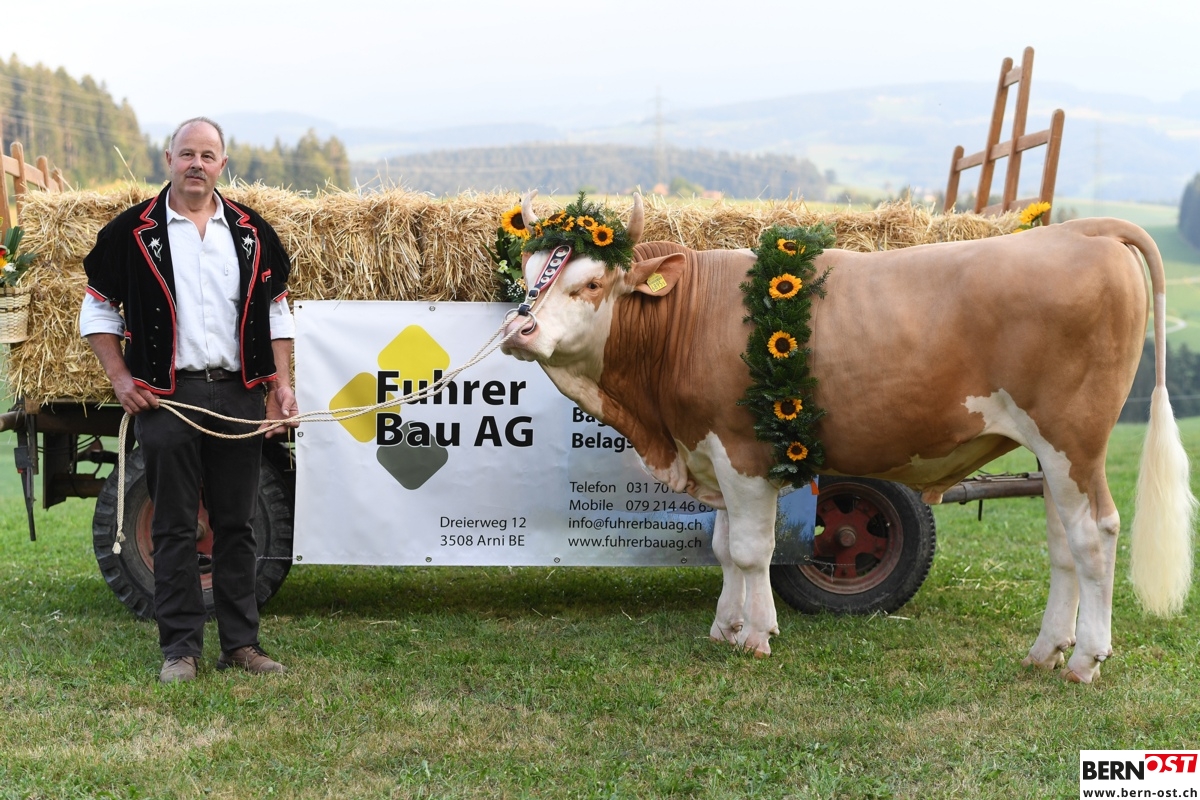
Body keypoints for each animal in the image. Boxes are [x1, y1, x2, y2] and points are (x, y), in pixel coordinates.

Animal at [500, 192, 1195, 683]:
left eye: (590, 283)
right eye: (528, 274)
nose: (518, 329)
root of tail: (1084, 229)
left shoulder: (741, 450)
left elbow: (750, 550)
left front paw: (756, 636)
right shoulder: (709, 451)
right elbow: (724, 547)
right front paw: (725, 627)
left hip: (1074, 439)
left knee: (1096, 536)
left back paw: (1085, 661)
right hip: (1054, 456)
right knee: (1062, 544)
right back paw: (1047, 649)